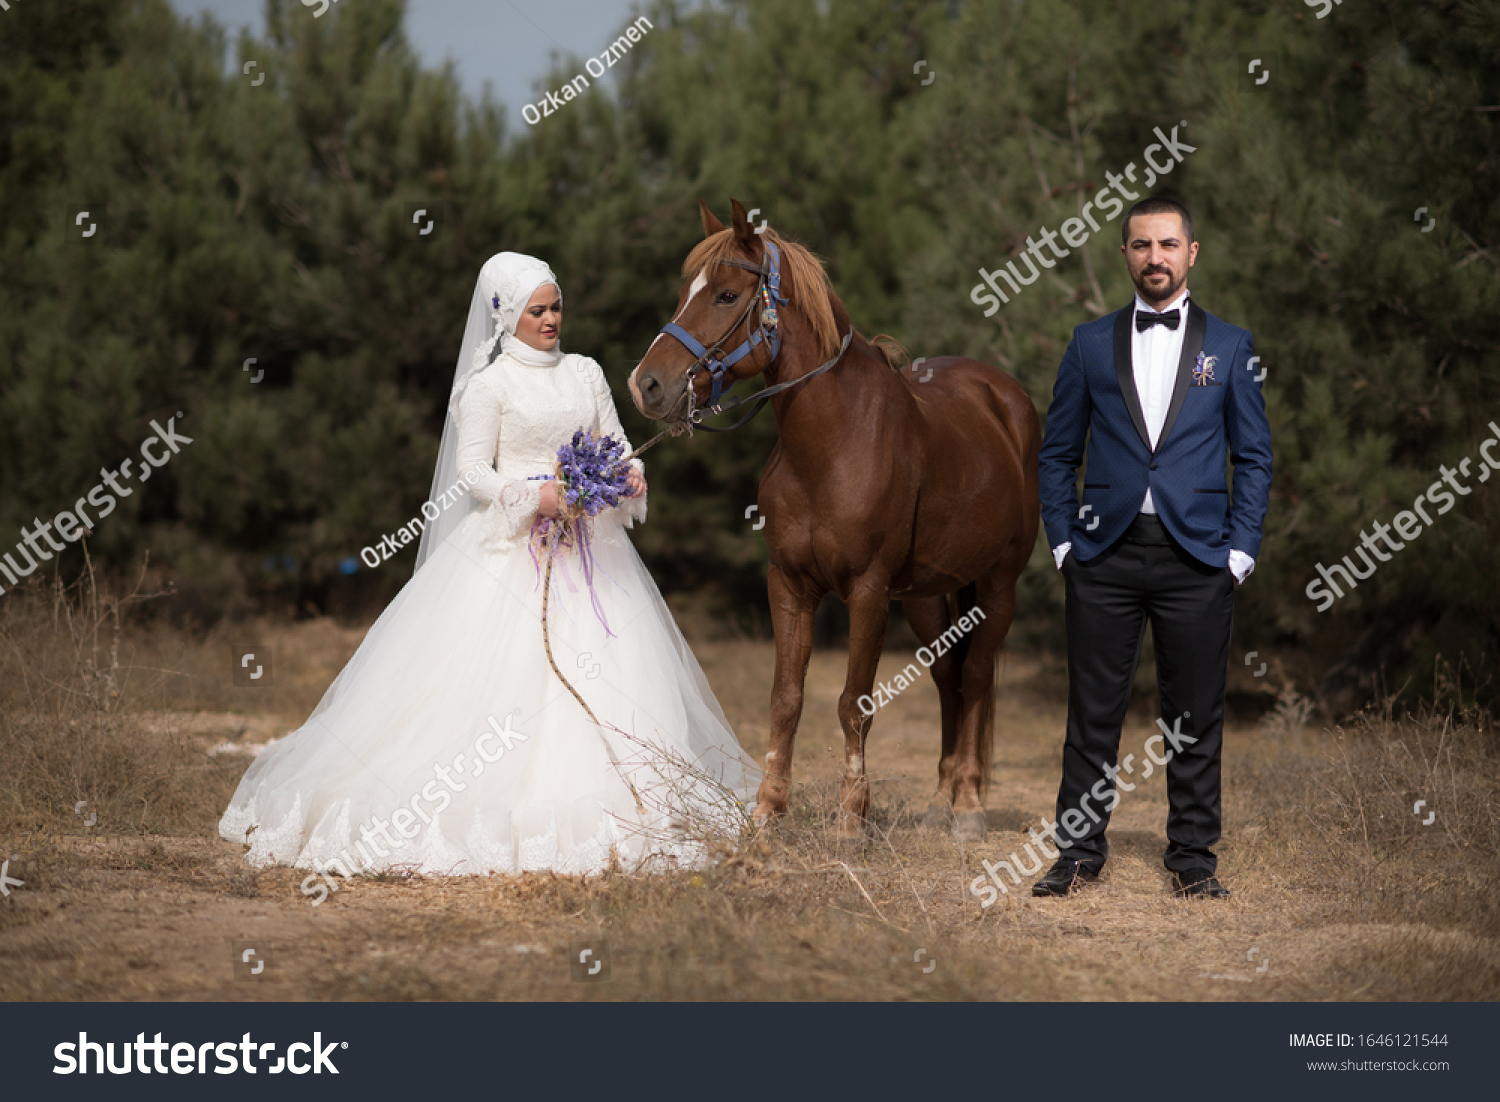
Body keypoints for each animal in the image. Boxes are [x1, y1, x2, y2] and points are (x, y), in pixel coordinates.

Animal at [627, 197, 1038, 839]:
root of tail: (1004, 398)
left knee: (974, 677)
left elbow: (854, 703)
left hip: (998, 585)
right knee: (948, 677)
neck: (833, 443)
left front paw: (850, 819)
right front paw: (768, 811)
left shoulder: (867, 593)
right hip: (926, 599)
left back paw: (969, 808)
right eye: (682, 292)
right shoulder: (790, 585)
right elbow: (786, 698)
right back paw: (939, 804)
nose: (646, 384)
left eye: (725, 295)